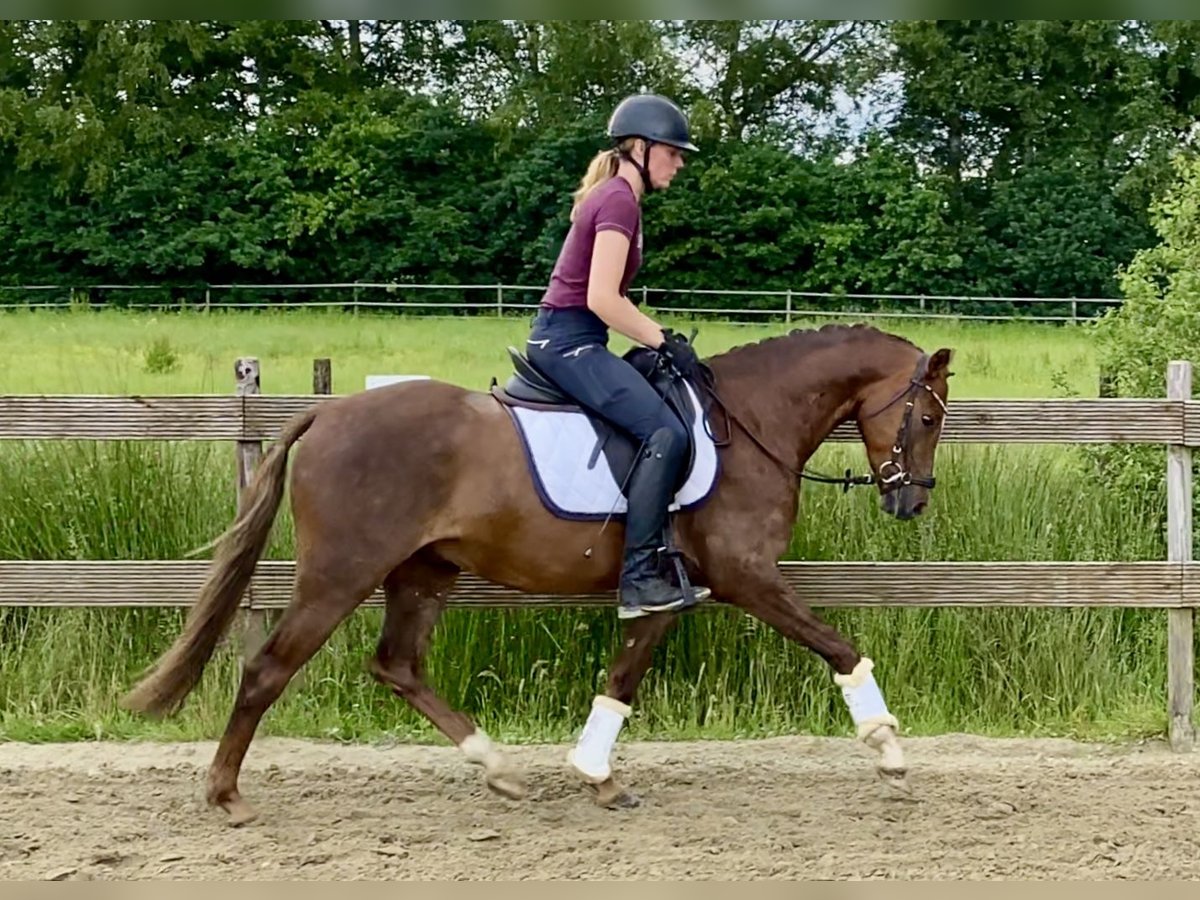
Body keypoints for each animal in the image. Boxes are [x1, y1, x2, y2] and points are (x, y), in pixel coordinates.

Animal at [119, 321, 945, 825]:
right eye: (932, 416)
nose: (911, 500)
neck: (744, 425)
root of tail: (327, 413)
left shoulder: (667, 592)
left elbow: (621, 678)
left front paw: (597, 775)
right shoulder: (747, 576)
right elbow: (838, 647)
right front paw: (890, 751)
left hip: (423, 573)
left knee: (396, 665)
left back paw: (497, 767)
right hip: (341, 574)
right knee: (268, 669)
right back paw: (226, 795)